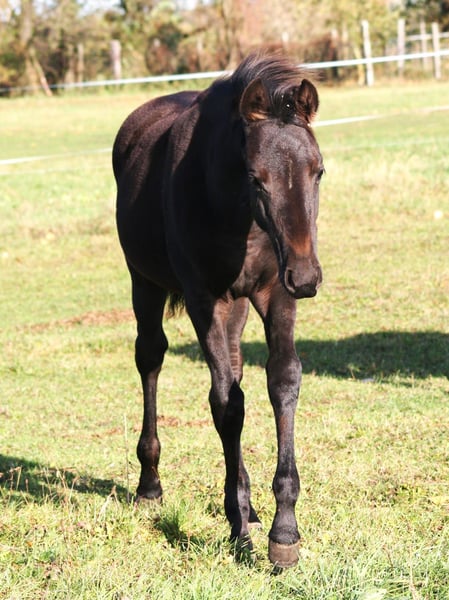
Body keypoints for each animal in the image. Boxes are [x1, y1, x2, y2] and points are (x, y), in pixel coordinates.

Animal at [113, 53, 324, 568]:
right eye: (256, 178)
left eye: (319, 171)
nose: (308, 277)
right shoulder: (204, 298)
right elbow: (226, 404)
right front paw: (240, 527)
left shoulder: (275, 293)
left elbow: (281, 382)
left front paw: (283, 532)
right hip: (144, 282)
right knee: (151, 357)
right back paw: (150, 485)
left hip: (239, 307)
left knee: (235, 367)